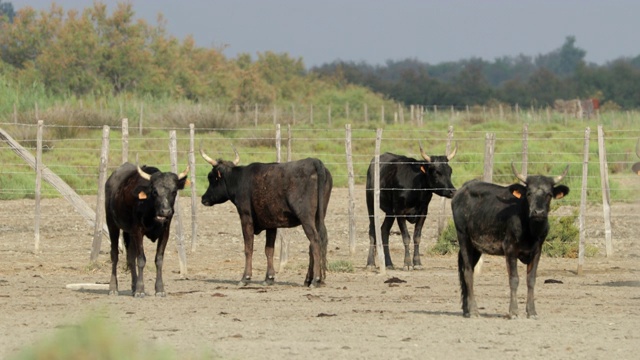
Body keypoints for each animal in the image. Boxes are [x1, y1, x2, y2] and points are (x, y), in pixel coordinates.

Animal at [105, 162, 189, 296]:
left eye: (174, 191)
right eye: (154, 191)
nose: (165, 211)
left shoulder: (165, 232)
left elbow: (159, 259)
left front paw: (159, 289)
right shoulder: (138, 231)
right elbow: (141, 259)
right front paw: (140, 289)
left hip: (129, 233)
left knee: (130, 257)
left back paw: (133, 286)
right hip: (112, 224)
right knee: (114, 255)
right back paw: (113, 288)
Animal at [200, 148, 332, 286]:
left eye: (211, 177)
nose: (203, 198)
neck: (239, 180)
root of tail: (313, 161)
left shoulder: (246, 218)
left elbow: (248, 248)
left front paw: (245, 277)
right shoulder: (271, 223)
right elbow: (269, 250)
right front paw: (269, 278)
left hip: (306, 217)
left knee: (315, 241)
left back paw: (316, 279)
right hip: (318, 217)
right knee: (314, 243)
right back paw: (308, 279)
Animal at [450, 163, 568, 318]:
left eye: (549, 194)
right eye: (529, 193)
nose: (538, 212)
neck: (531, 231)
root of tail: (463, 189)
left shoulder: (537, 251)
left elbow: (531, 280)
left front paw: (532, 311)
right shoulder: (510, 249)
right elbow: (514, 279)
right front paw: (513, 311)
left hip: (476, 246)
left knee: (465, 271)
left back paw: (466, 310)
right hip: (463, 238)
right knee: (468, 272)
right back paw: (474, 310)